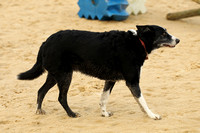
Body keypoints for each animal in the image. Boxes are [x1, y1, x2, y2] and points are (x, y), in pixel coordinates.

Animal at [17, 25, 180, 119]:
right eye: (164, 34)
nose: (178, 40)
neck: (137, 41)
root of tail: (45, 42)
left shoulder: (111, 79)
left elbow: (104, 98)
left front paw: (104, 113)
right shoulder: (132, 81)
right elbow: (143, 101)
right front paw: (152, 115)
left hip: (54, 75)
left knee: (41, 91)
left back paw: (39, 110)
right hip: (65, 76)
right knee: (61, 98)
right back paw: (71, 114)